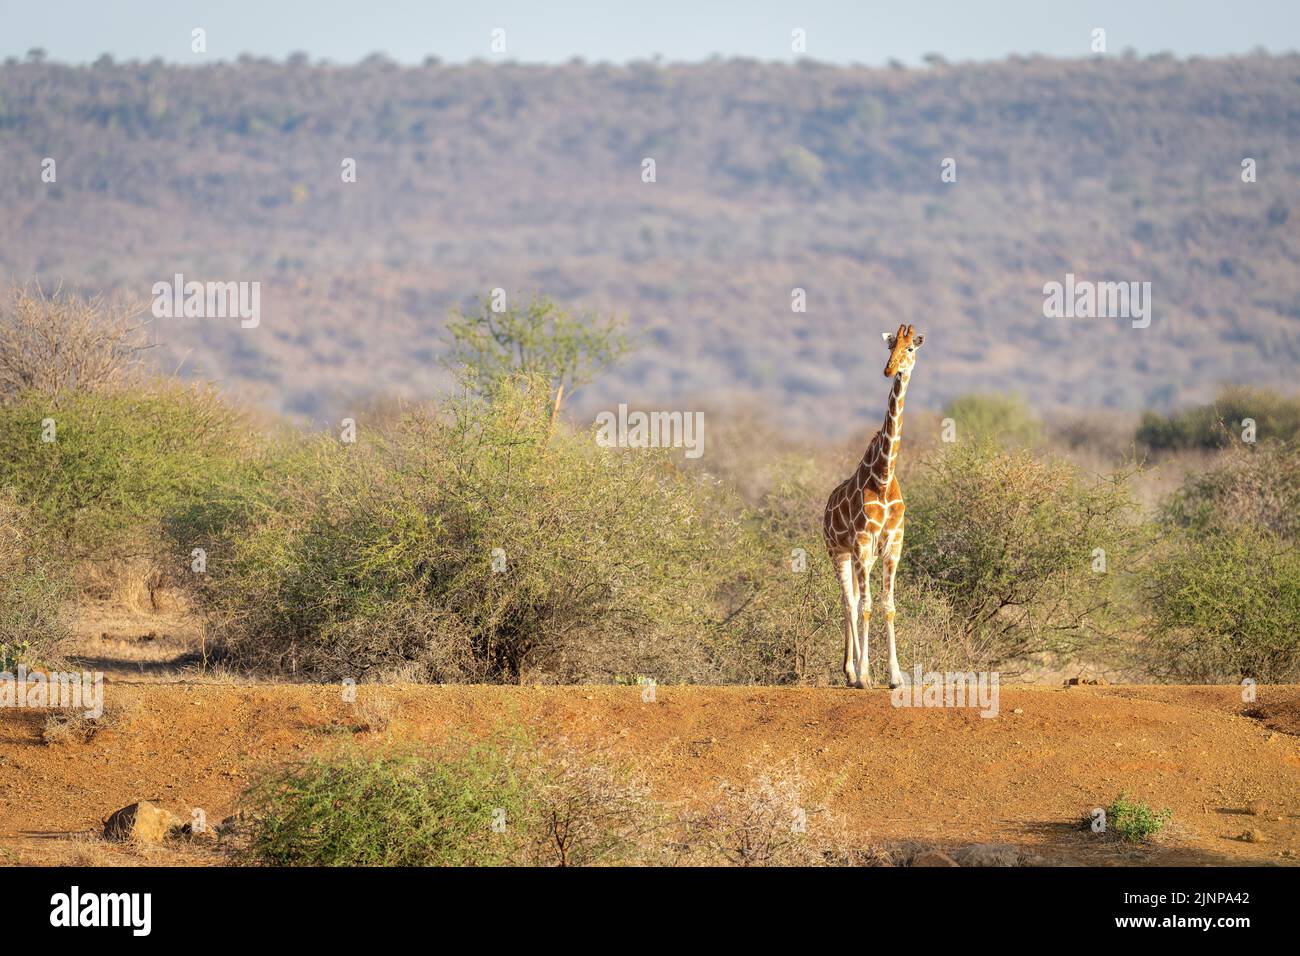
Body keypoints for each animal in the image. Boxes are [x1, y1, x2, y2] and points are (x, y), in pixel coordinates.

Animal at [821, 321, 925, 686]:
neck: (882, 475)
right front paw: (866, 675)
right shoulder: (864, 542)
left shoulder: (893, 544)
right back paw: (852, 672)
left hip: (857, 556)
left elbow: (888, 606)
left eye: (910, 348)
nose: (890, 369)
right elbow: (865, 606)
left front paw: (895, 676)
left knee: (853, 599)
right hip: (838, 551)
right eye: (890, 347)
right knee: (849, 603)